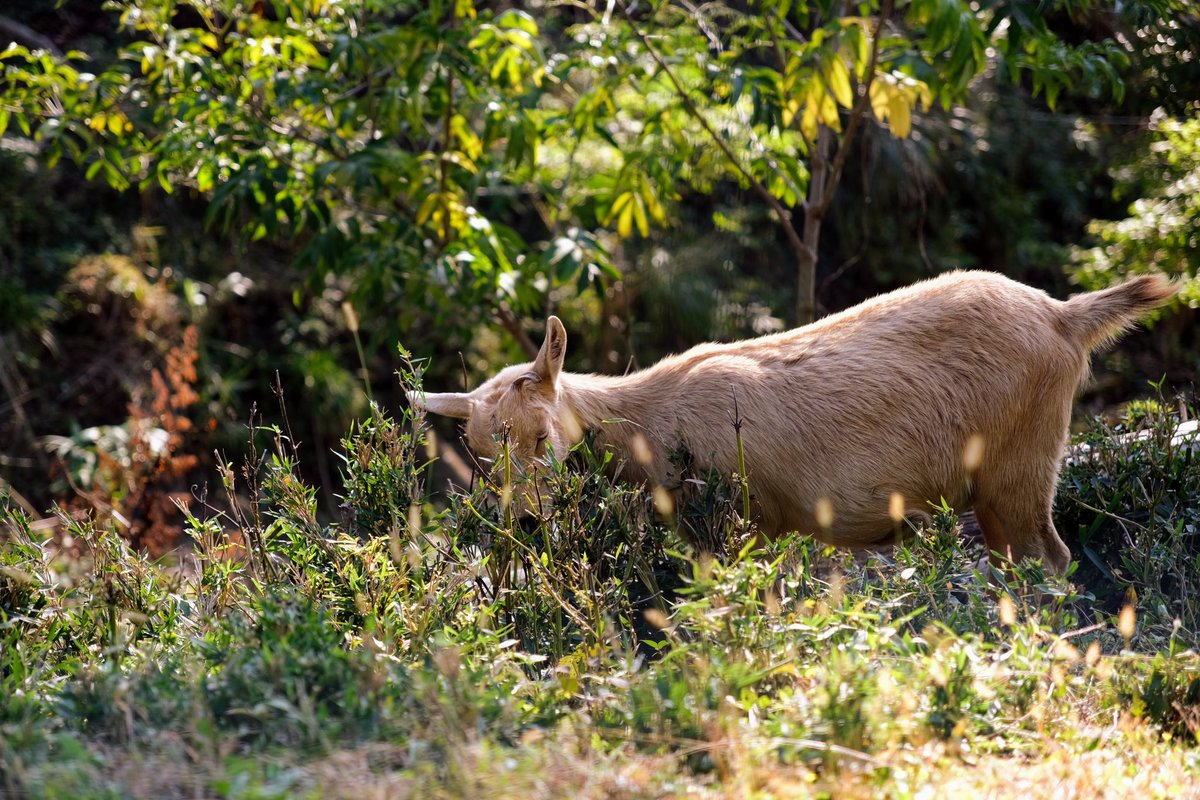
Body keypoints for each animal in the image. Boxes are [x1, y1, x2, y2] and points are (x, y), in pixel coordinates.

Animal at [410, 272, 1171, 573]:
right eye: (480, 454)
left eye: (542, 434)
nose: (527, 518)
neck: (651, 422)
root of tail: (1065, 316)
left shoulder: (744, 516)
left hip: (1021, 463)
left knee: (1051, 558)